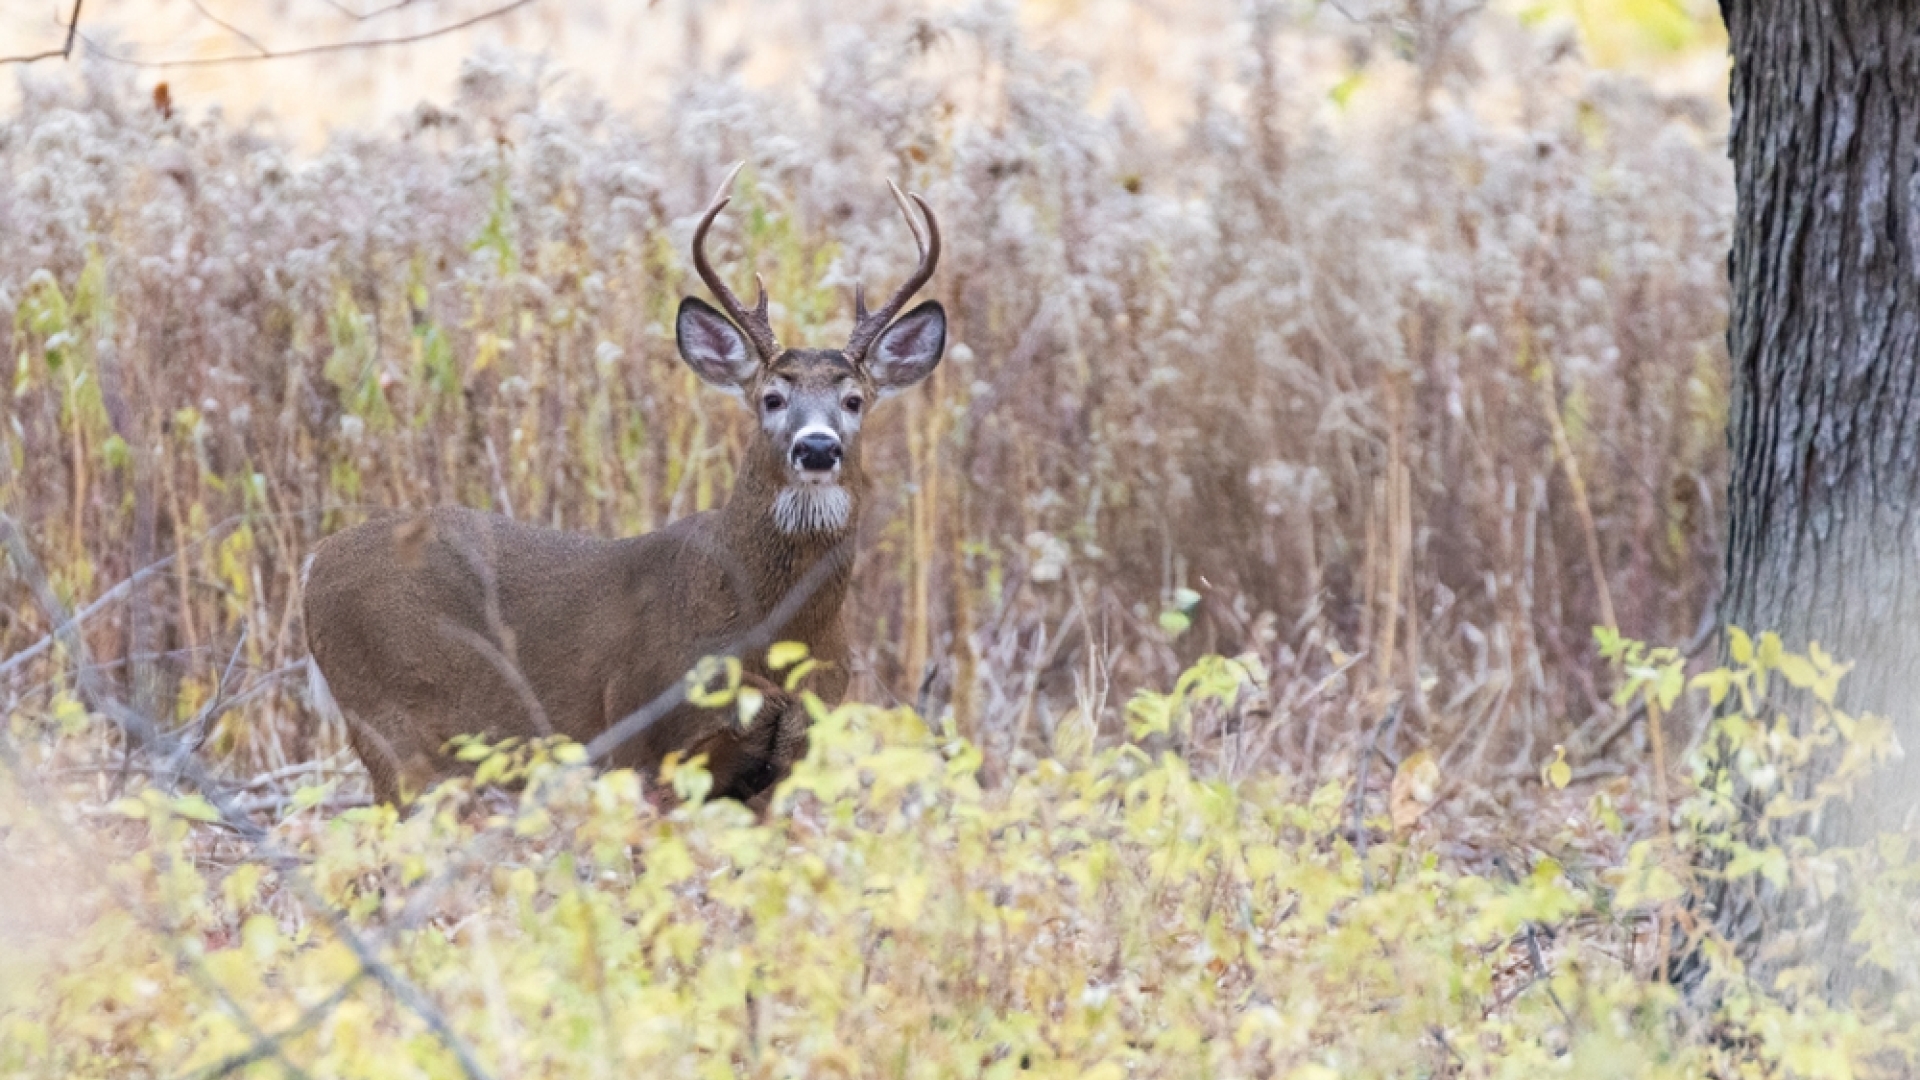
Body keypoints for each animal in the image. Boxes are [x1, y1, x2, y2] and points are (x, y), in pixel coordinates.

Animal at [301, 164, 945, 807]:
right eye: (772, 397)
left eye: (854, 400)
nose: (816, 447)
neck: (772, 636)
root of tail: (314, 561)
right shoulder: (643, 736)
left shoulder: (787, 758)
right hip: (389, 726)